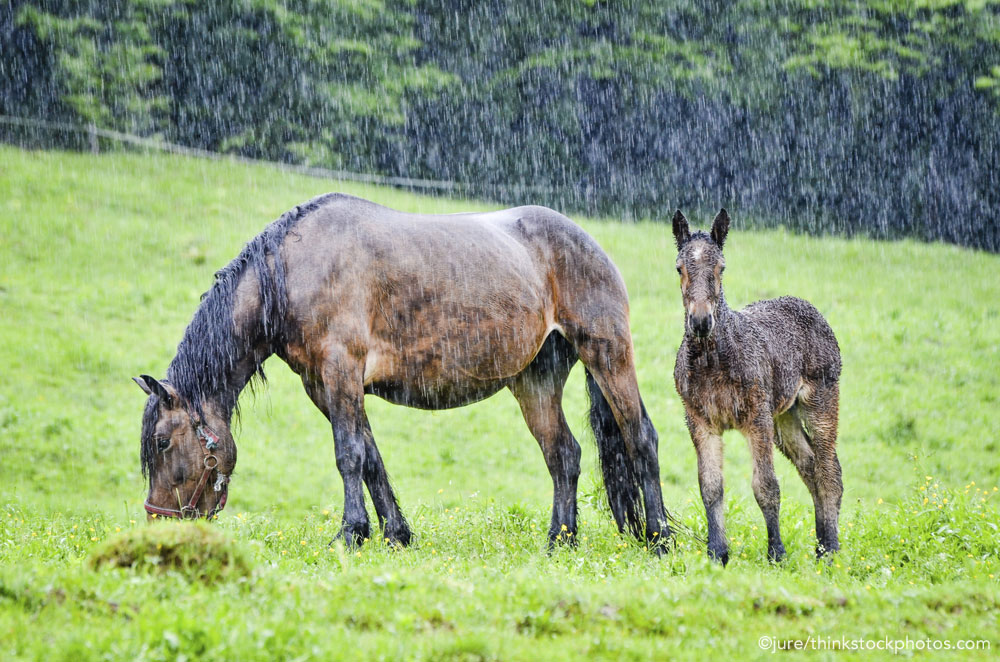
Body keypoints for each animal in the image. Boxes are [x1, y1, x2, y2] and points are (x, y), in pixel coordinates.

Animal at [672, 211, 844, 564]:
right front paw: (717, 552)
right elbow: (710, 486)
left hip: (820, 401)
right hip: (785, 416)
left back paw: (830, 550)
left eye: (721, 267)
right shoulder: (699, 421)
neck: (714, 360)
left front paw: (776, 552)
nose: (700, 322)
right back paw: (820, 544)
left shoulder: (757, 419)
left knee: (829, 471)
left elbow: (766, 485)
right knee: (809, 465)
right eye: (679, 268)